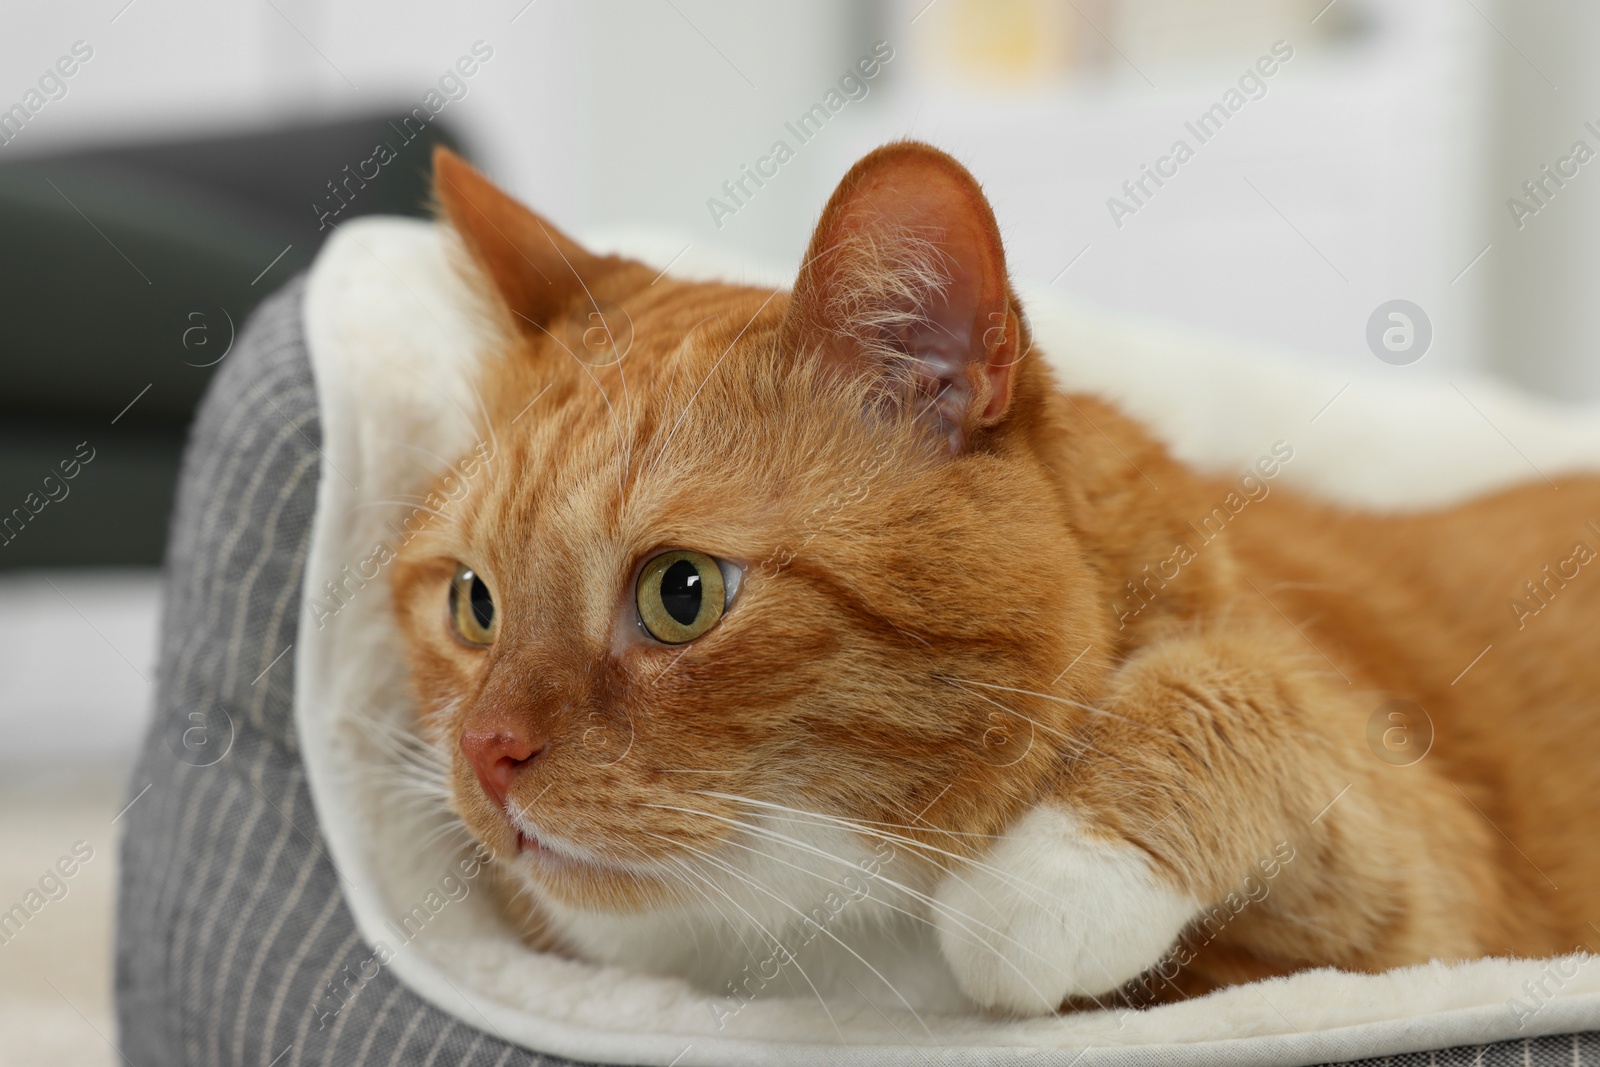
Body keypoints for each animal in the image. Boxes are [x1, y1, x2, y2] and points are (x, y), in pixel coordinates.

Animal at [387, 141, 1600, 1017]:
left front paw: (1054, 873)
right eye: (473, 602)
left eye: (680, 593)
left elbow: (1252, 698)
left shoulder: (1439, 888)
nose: (485, 753)